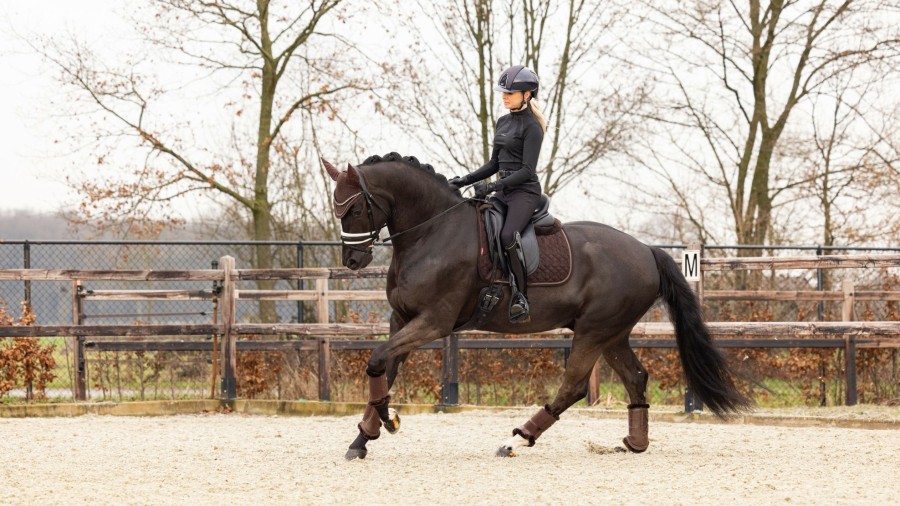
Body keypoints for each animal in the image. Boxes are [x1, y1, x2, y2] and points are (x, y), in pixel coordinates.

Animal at [320, 152, 748, 460]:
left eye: (353, 208)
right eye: (337, 208)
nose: (353, 261)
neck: (432, 232)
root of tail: (646, 250)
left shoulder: (433, 322)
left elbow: (378, 360)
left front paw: (386, 421)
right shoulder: (402, 319)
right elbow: (384, 369)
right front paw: (365, 436)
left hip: (595, 330)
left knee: (573, 385)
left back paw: (517, 440)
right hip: (612, 333)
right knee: (635, 377)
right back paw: (635, 442)